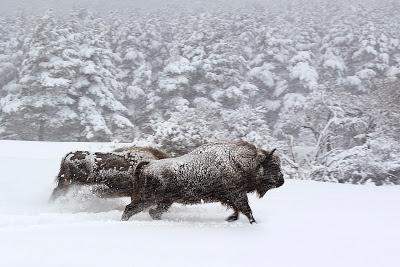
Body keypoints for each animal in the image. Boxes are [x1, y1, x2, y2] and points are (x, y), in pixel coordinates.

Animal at [121, 141, 284, 225]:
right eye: (273, 166)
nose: (281, 181)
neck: (237, 162)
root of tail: (148, 165)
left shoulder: (231, 197)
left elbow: (238, 210)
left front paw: (231, 219)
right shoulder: (237, 195)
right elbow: (246, 209)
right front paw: (253, 223)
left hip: (165, 201)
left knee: (153, 212)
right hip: (148, 198)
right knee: (130, 209)